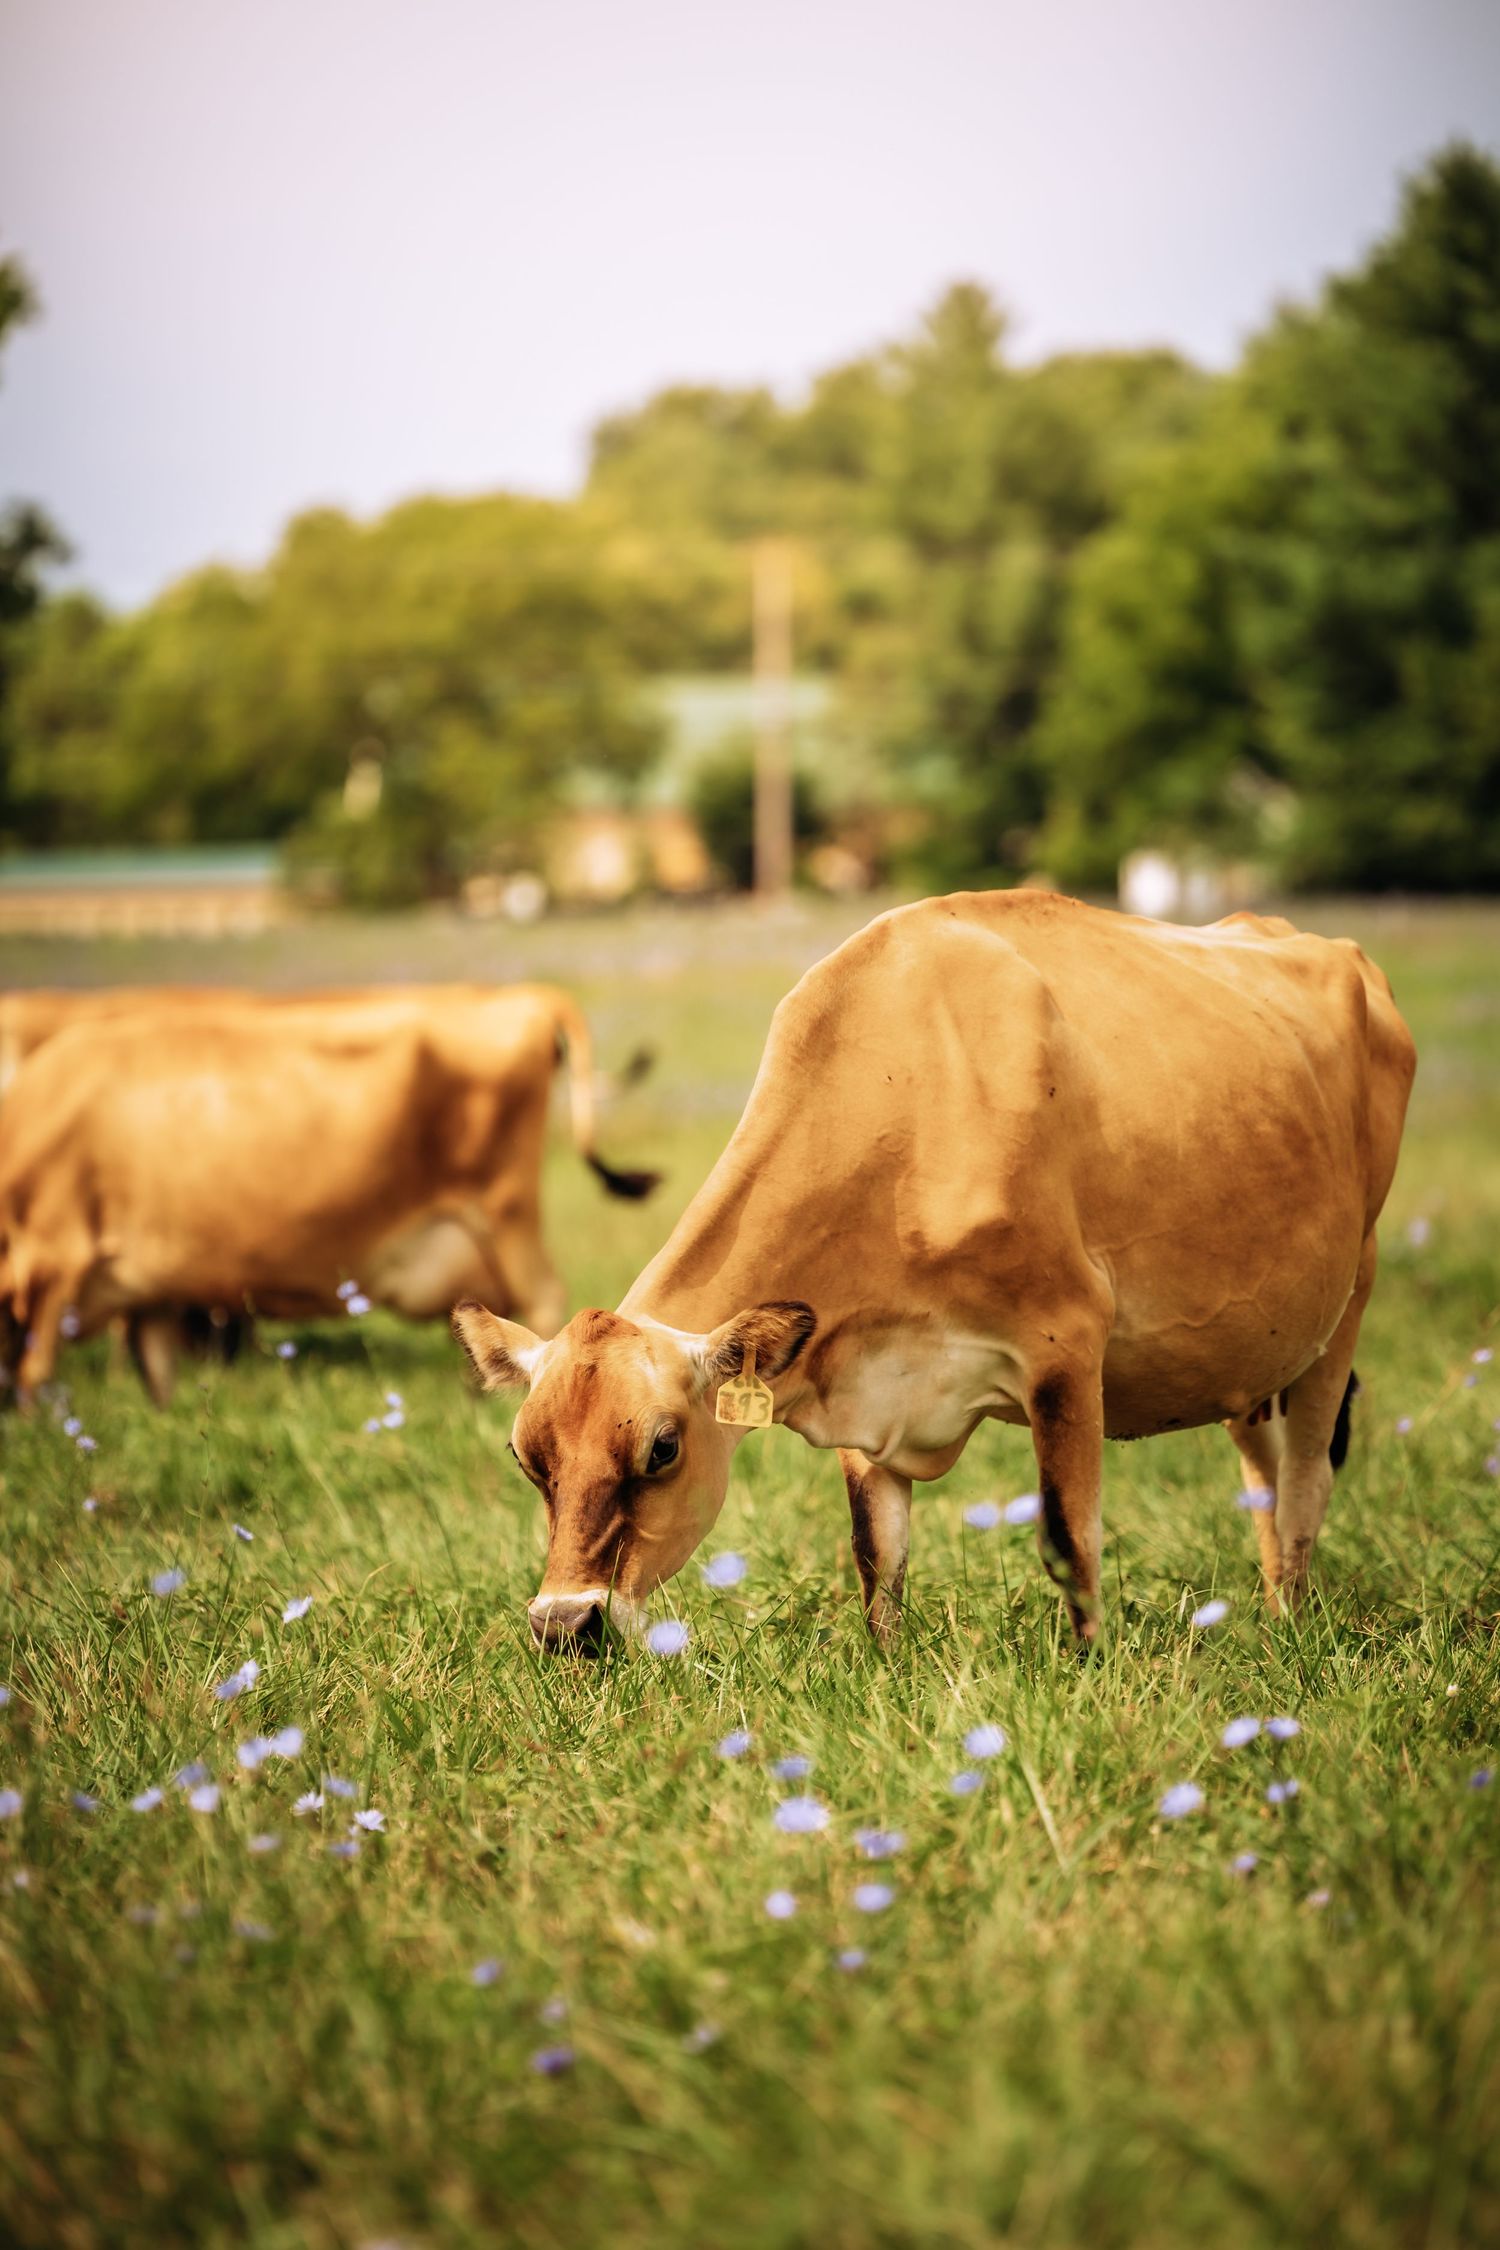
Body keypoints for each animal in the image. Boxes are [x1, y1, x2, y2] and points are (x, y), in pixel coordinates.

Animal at [0, 985, 656, 1405]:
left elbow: (34, 1370)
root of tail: (526, 997)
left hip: (505, 1214)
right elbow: (156, 1376)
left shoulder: (55, 1256)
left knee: (543, 1305)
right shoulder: (153, 1295)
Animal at [451, 892, 1416, 1652]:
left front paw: (1087, 1668)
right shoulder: (856, 1372)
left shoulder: (1069, 1348)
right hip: (1255, 1352)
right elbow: (876, 1555)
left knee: (1305, 1481)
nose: (562, 1625)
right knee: (1263, 1474)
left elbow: (1070, 1539)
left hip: (1349, 1299)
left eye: (662, 1447)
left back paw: (1291, 1628)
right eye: (525, 1455)